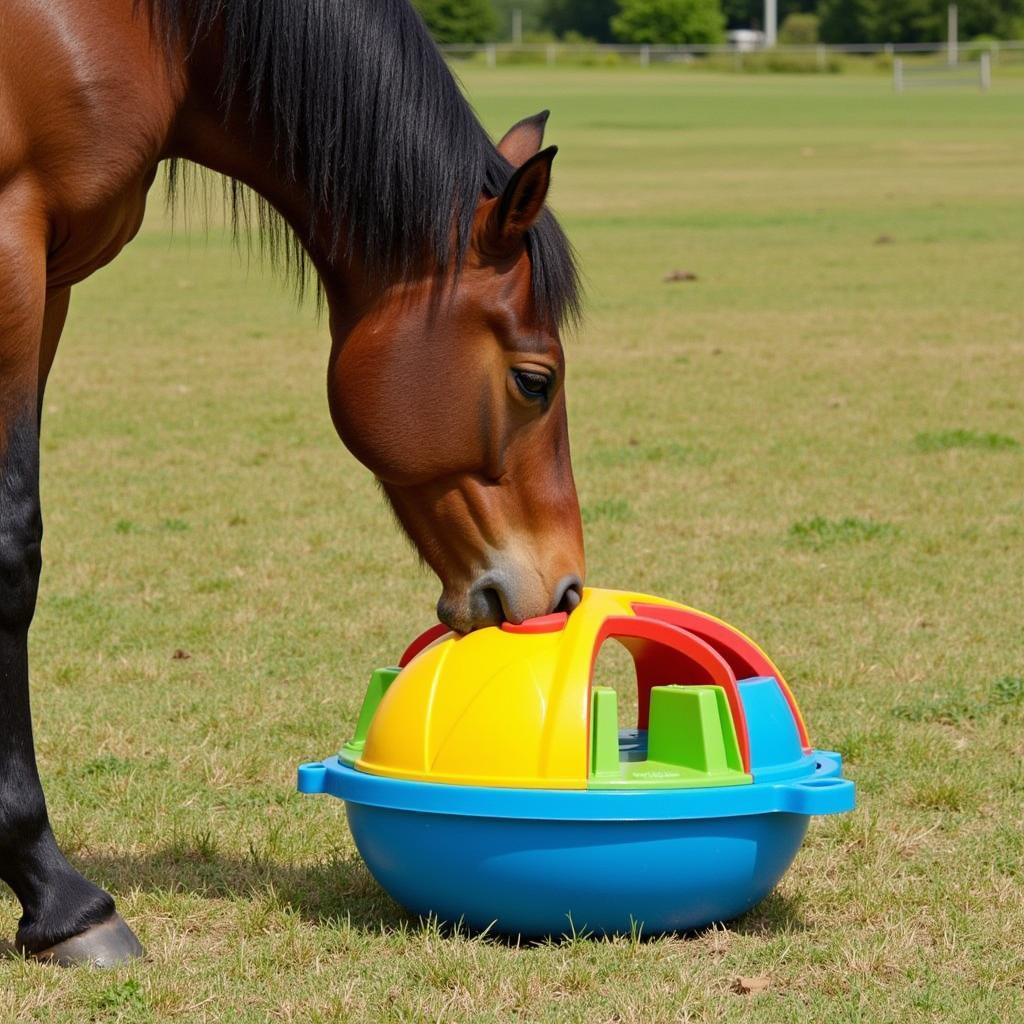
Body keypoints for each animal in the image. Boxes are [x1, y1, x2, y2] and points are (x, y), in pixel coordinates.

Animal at [0, 0, 589, 962]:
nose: (565, 589)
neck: (150, 29)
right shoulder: (13, 249)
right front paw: (57, 895)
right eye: (535, 381)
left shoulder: (48, 284)